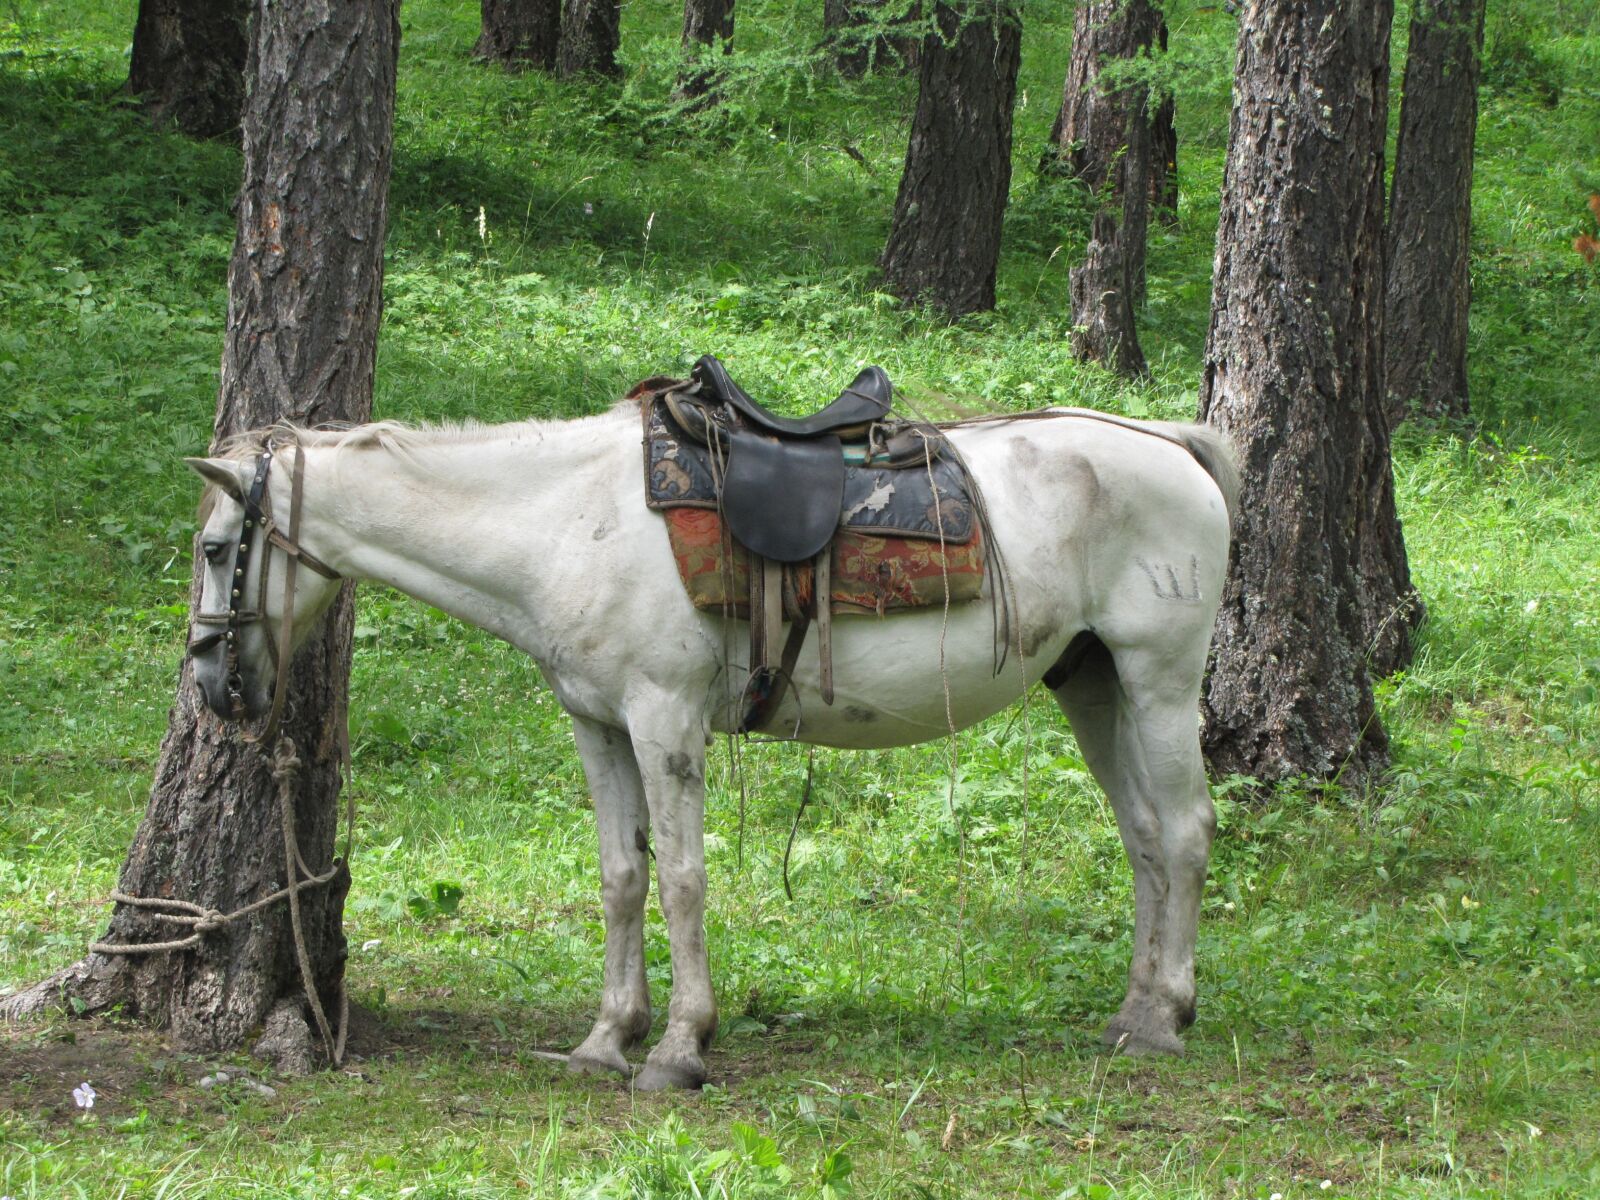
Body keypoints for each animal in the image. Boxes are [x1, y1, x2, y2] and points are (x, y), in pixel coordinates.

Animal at [187, 400, 1235, 1094]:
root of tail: (1169, 443)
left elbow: (684, 880)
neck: (567, 521)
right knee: (1144, 837)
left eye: (213, 549)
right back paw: (1134, 1009)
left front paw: (680, 1048)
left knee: (1185, 832)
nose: (208, 683)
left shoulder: (664, 717)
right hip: (1093, 683)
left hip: (1158, 677)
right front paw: (608, 1038)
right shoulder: (599, 722)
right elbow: (621, 876)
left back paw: (1167, 1018)